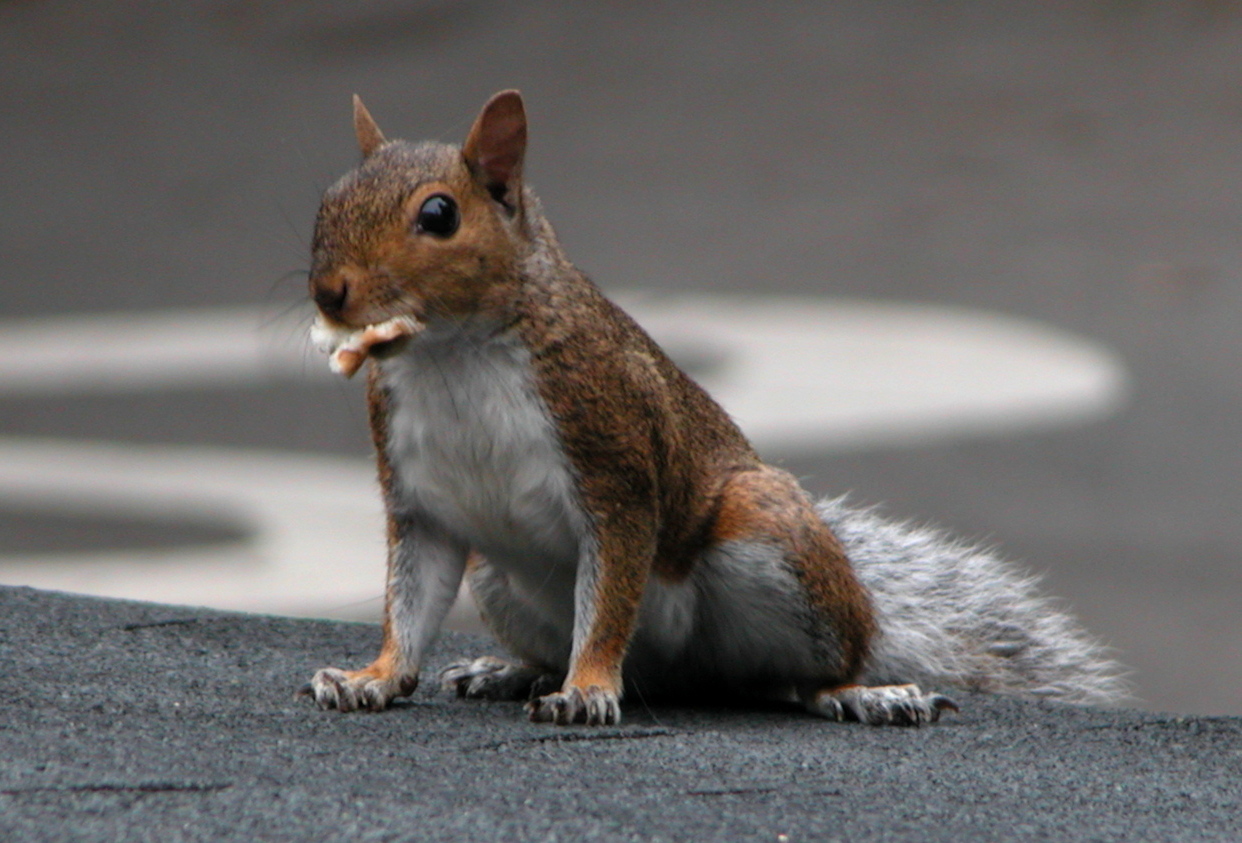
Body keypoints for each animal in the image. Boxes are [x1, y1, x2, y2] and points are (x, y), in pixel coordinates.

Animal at [300, 90, 1127, 727]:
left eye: (439, 215)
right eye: (327, 201)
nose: (328, 293)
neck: (454, 355)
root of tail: (679, 669)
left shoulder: (616, 461)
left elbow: (608, 598)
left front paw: (588, 689)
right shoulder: (421, 503)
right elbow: (410, 601)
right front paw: (374, 676)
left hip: (768, 537)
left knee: (789, 677)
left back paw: (858, 691)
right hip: (499, 579)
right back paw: (512, 669)